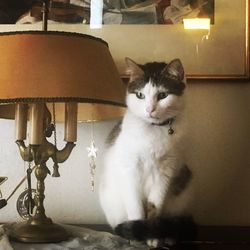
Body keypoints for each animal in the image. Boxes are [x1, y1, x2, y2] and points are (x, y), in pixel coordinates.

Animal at [98, 57, 196, 248]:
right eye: (140, 95)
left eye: (163, 95)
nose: (150, 109)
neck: (154, 131)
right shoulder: (130, 170)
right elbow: (136, 208)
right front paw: (137, 236)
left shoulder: (165, 172)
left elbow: (154, 207)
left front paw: (152, 237)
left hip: (181, 192)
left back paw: (169, 236)